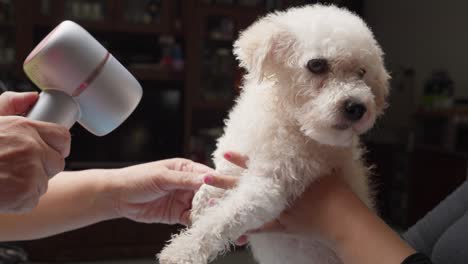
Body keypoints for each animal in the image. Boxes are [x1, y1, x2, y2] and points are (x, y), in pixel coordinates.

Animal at [159, 4, 390, 264]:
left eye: (361, 72)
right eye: (317, 64)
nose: (358, 108)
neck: (285, 120)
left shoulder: (268, 188)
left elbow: (223, 219)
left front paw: (182, 250)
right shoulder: (235, 156)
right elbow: (215, 177)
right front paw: (200, 203)